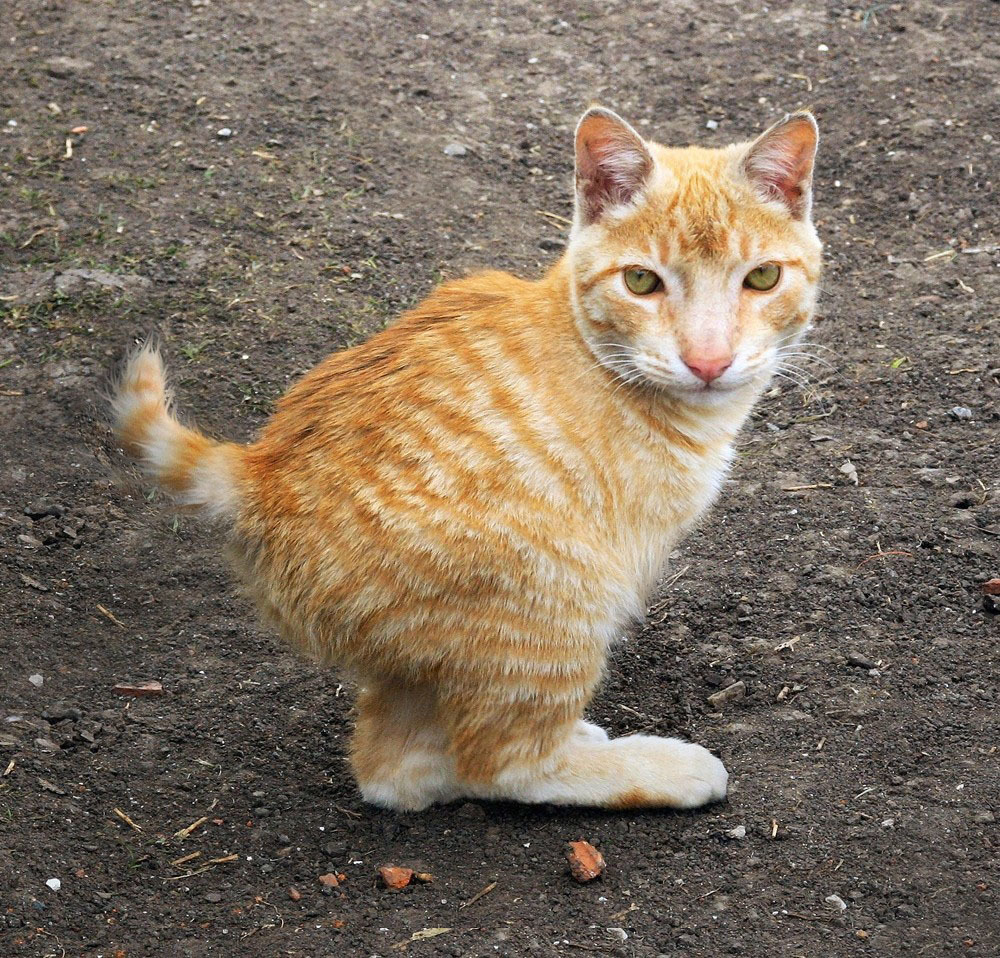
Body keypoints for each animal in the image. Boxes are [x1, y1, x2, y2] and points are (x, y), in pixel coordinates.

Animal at [113, 109, 824, 812]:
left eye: (762, 278)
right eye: (641, 281)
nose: (709, 360)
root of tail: (259, 475)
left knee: (392, 772)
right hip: (560, 601)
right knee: (497, 763)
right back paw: (650, 767)